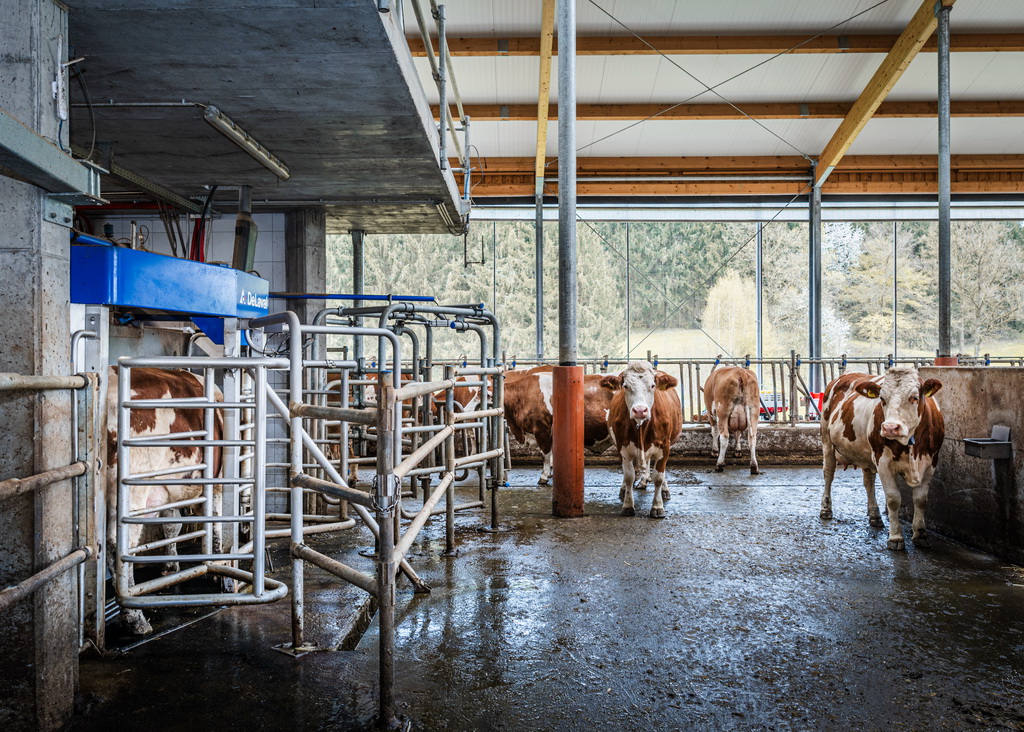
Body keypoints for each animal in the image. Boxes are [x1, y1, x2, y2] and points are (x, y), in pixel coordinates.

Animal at [105, 366, 222, 634]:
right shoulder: (219, 479)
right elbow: (216, 520)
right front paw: (218, 566)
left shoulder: (168, 491)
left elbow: (171, 525)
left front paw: (170, 565)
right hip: (131, 490)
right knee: (120, 544)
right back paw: (134, 617)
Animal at [598, 364, 679, 518]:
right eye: (625, 386)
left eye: (653, 385)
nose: (640, 410)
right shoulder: (622, 447)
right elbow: (629, 476)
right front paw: (628, 505)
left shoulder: (664, 447)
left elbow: (658, 477)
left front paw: (657, 506)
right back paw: (628, 487)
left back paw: (663, 490)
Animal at [815, 366, 942, 548]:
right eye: (882, 399)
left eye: (914, 397)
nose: (890, 428)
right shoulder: (883, 462)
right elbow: (893, 499)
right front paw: (895, 537)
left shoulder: (931, 463)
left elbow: (921, 499)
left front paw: (920, 534)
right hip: (826, 438)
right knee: (829, 473)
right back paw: (826, 509)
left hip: (866, 454)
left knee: (868, 481)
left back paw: (874, 515)